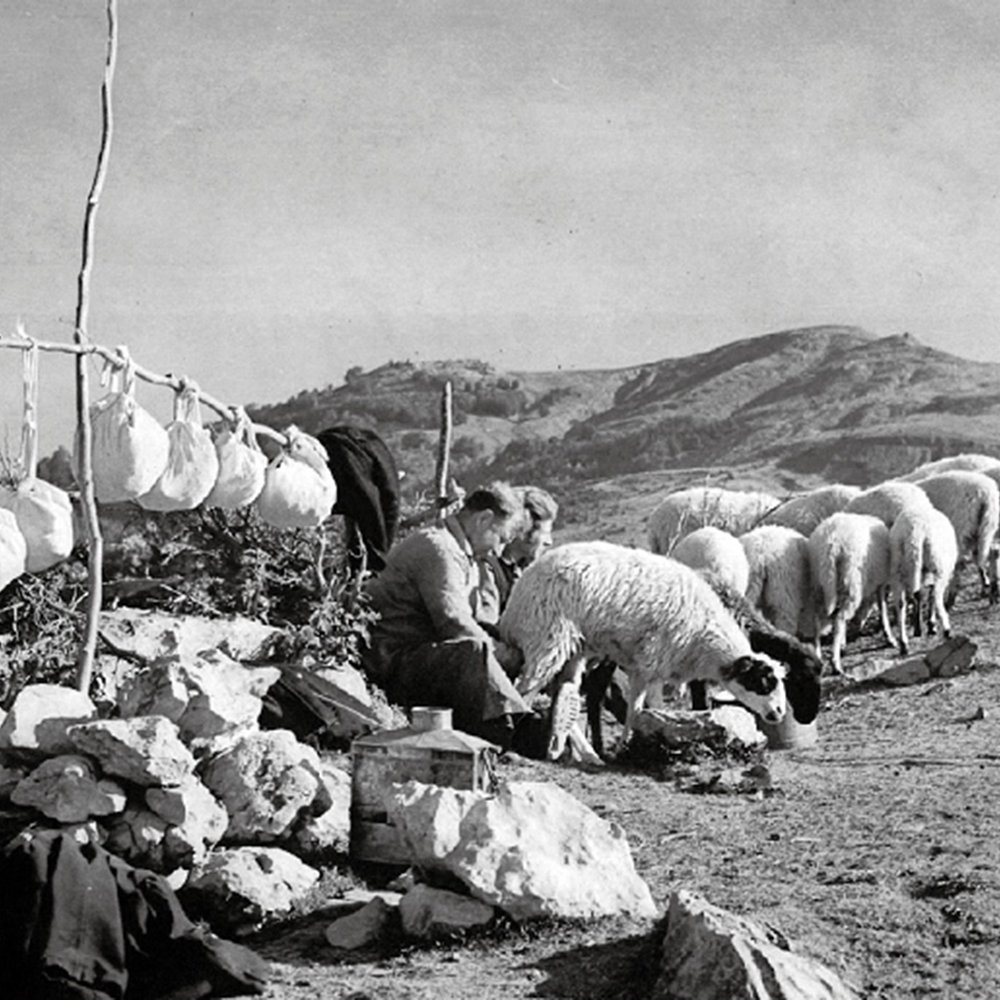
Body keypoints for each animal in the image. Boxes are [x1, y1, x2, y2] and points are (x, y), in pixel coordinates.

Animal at [500, 544, 788, 760]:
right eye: (763, 681)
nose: (779, 712)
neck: (705, 641)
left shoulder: (655, 668)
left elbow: (646, 709)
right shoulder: (649, 663)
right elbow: (638, 710)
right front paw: (629, 745)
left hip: (573, 648)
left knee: (561, 689)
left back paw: (577, 751)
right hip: (547, 638)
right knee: (524, 688)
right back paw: (511, 742)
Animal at [808, 512, 896, 676]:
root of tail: (832, 542)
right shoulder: (880, 583)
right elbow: (883, 610)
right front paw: (889, 637)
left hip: (819, 582)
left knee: (817, 619)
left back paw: (818, 657)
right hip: (851, 582)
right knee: (839, 618)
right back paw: (835, 663)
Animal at [892, 504, 960, 652]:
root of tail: (916, 531)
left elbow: (920, 596)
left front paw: (920, 627)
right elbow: (930, 596)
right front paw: (931, 625)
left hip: (898, 567)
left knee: (901, 603)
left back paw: (904, 643)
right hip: (938, 565)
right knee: (936, 595)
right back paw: (947, 630)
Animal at [916, 472, 1000, 604]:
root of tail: (985, 493)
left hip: (961, 529)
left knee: (960, 563)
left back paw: (951, 597)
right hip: (985, 527)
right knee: (990, 553)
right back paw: (991, 590)